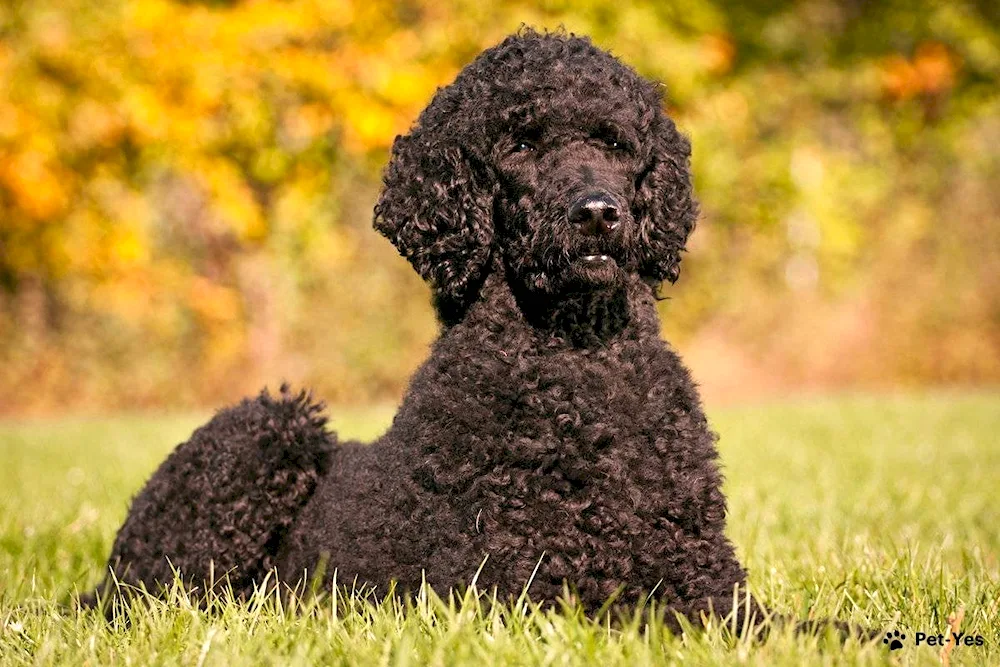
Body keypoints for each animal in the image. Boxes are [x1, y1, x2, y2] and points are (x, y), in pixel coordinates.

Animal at [92, 31, 764, 636]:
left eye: (615, 142)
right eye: (521, 144)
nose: (598, 213)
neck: (579, 363)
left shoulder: (702, 567)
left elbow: (756, 617)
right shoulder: (516, 583)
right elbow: (646, 617)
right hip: (266, 432)